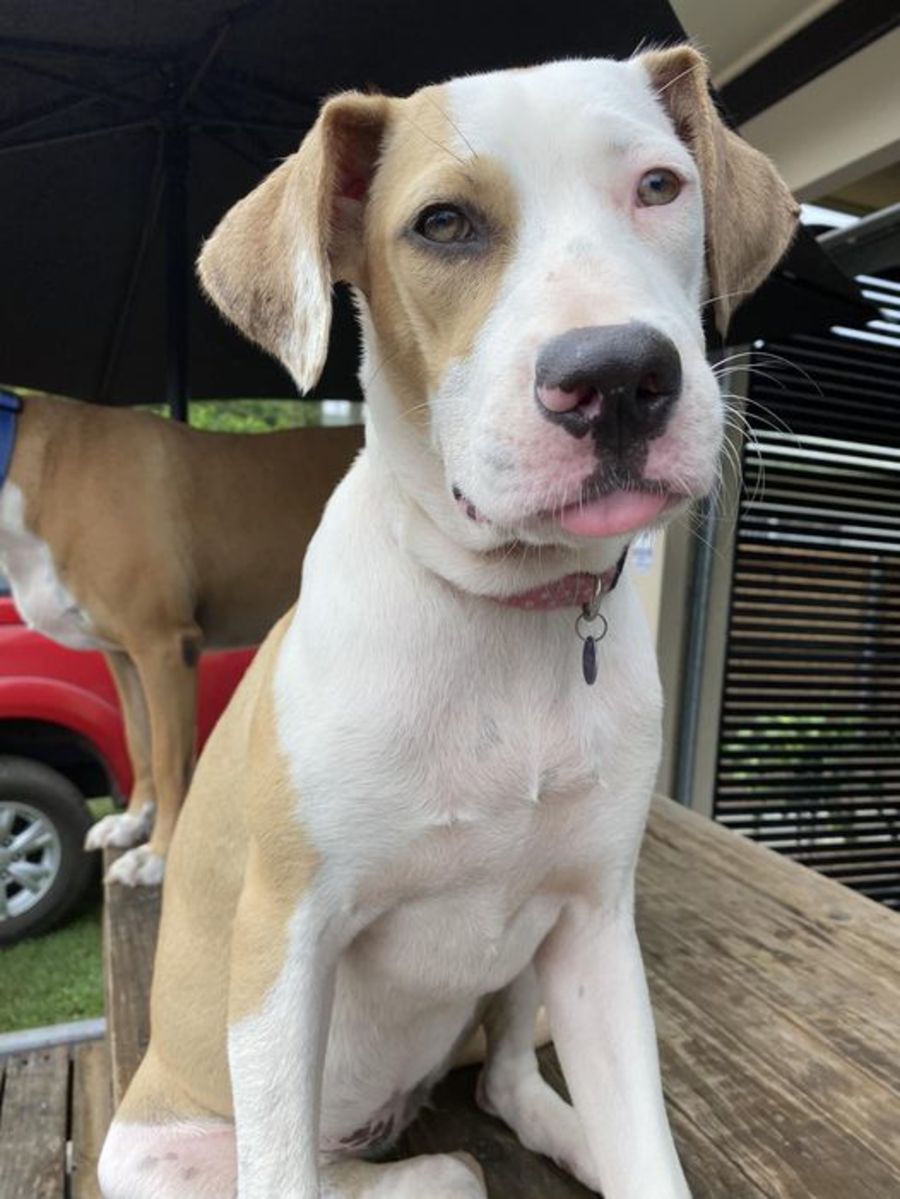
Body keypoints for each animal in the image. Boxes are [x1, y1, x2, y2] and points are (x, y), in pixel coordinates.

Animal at [0, 395, 361, 885]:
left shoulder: (164, 647)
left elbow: (170, 761)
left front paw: (158, 854)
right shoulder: (123, 655)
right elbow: (139, 744)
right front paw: (133, 822)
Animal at [98, 45, 797, 1198]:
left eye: (661, 185)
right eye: (442, 224)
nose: (617, 377)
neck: (507, 614)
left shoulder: (592, 923)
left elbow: (645, 1147)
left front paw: (615, 1143)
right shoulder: (283, 943)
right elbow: (280, 1170)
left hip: (522, 966)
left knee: (504, 1082)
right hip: (151, 1144)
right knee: (345, 1169)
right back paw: (426, 1169)